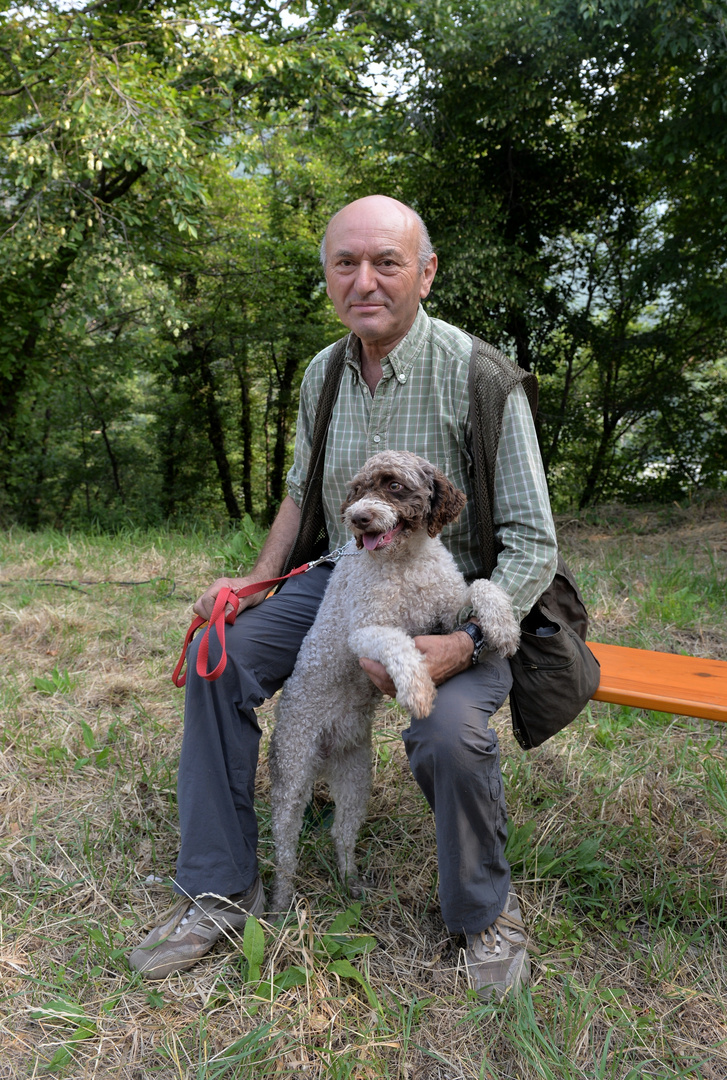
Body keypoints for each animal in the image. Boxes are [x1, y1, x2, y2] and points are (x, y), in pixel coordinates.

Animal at [268, 449, 518, 911]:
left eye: (395, 486)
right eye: (358, 489)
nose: (358, 518)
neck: (406, 564)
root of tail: (326, 750)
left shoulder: (448, 611)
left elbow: (482, 587)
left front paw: (504, 626)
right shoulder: (366, 631)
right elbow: (398, 644)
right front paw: (418, 690)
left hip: (355, 780)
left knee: (342, 834)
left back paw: (350, 883)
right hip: (292, 776)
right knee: (285, 850)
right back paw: (279, 903)